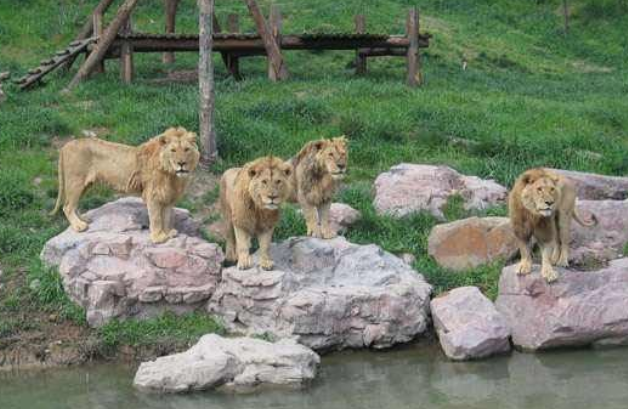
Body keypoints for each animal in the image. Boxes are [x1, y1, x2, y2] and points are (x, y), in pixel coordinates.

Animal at [50, 126, 200, 242]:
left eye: (186, 149)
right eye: (173, 150)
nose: (181, 163)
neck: (172, 175)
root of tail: (66, 146)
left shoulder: (168, 196)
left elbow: (167, 216)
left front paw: (168, 232)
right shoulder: (153, 195)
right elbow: (156, 218)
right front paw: (159, 237)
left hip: (85, 185)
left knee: (73, 204)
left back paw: (83, 219)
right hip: (76, 181)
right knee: (67, 206)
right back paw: (79, 226)